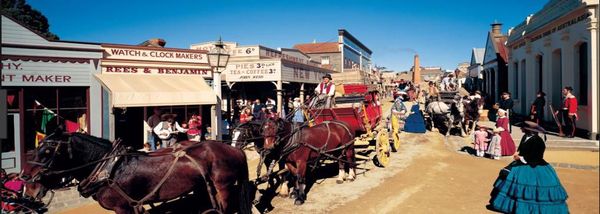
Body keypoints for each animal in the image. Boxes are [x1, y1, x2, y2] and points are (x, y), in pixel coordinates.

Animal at [28, 130, 252, 214]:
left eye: (47, 152)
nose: (27, 181)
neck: (109, 170)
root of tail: (234, 149)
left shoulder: (122, 208)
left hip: (224, 186)